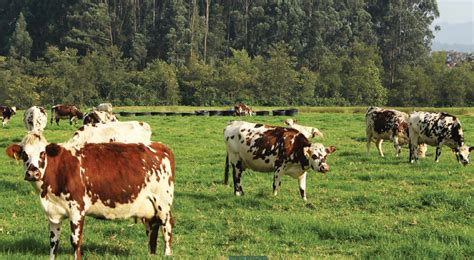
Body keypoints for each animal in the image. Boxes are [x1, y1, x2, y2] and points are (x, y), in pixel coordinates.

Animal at [5, 131, 176, 258]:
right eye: (24, 155)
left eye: (42, 153)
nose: (32, 172)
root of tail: (159, 146)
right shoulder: (53, 212)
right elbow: (54, 242)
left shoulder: (77, 209)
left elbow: (75, 241)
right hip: (148, 208)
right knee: (152, 229)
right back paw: (151, 254)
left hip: (162, 203)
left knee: (167, 227)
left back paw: (167, 255)